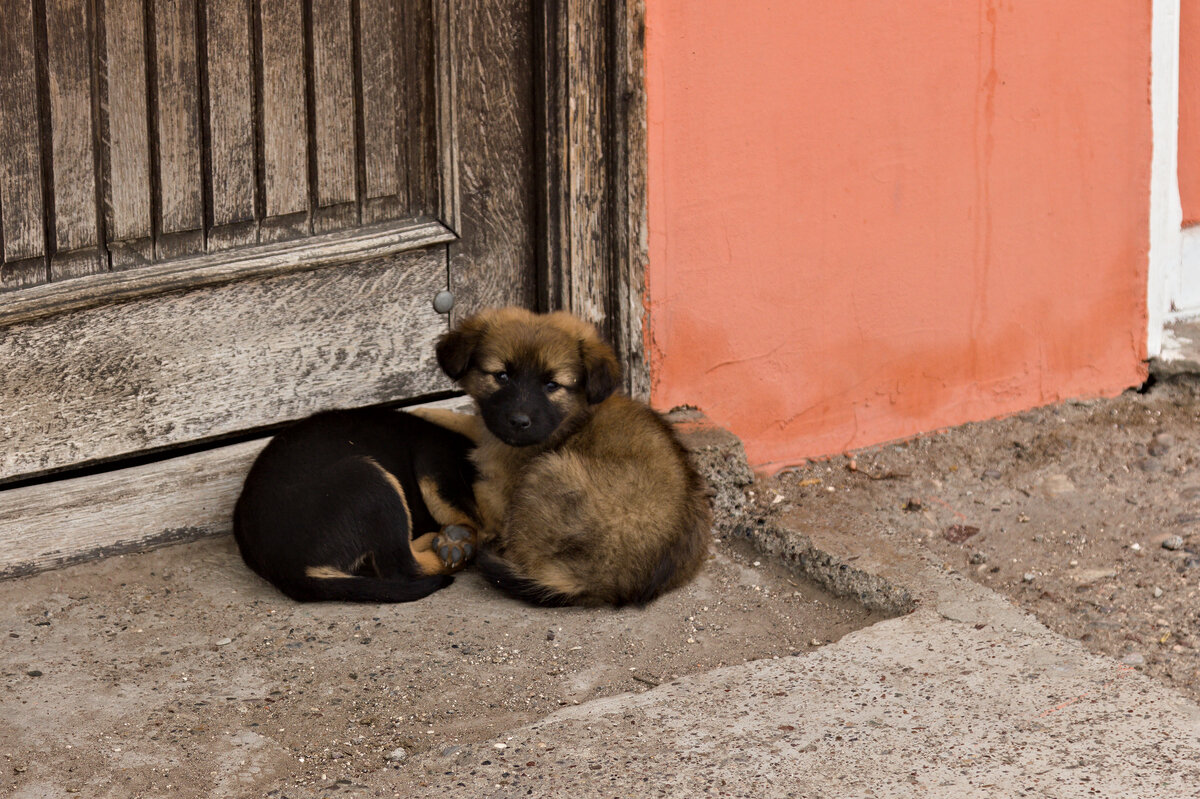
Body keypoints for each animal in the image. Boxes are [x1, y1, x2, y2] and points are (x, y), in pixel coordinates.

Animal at [231, 407, 480, 599]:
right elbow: (471, 518)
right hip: (369, 479)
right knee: (403, 567)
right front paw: (457, 541)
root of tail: (289, 570)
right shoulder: (436, 468)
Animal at [417, 304, 705, 604]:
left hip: (544, 472)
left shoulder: (499, 494)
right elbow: (472, 421)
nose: (519, 422)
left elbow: (476, 507)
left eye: (552, 385)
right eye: (502, 376)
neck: (573, 418)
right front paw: (424, 411)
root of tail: (594, 581)